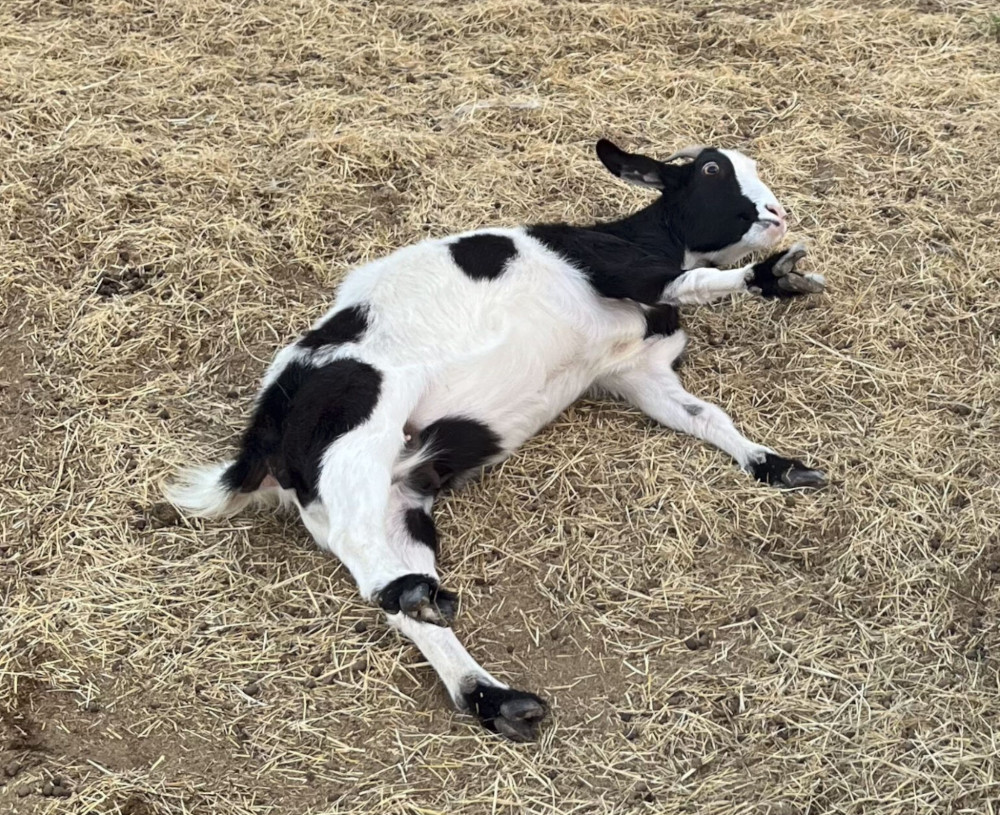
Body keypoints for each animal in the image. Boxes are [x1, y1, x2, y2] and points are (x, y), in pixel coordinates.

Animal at [166, 139, 828, 741]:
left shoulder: (636, 373)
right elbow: (694, 280)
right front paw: (772, 273)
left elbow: (705, 416)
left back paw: (492, 694)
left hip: (387, 502)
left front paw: (779, 465)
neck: (637, 235)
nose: (777, 215)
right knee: (366, 551)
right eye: (713, 169)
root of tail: (265, 430)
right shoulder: (621, 271)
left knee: (404, 602)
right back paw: (416, 601)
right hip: (359, 426)